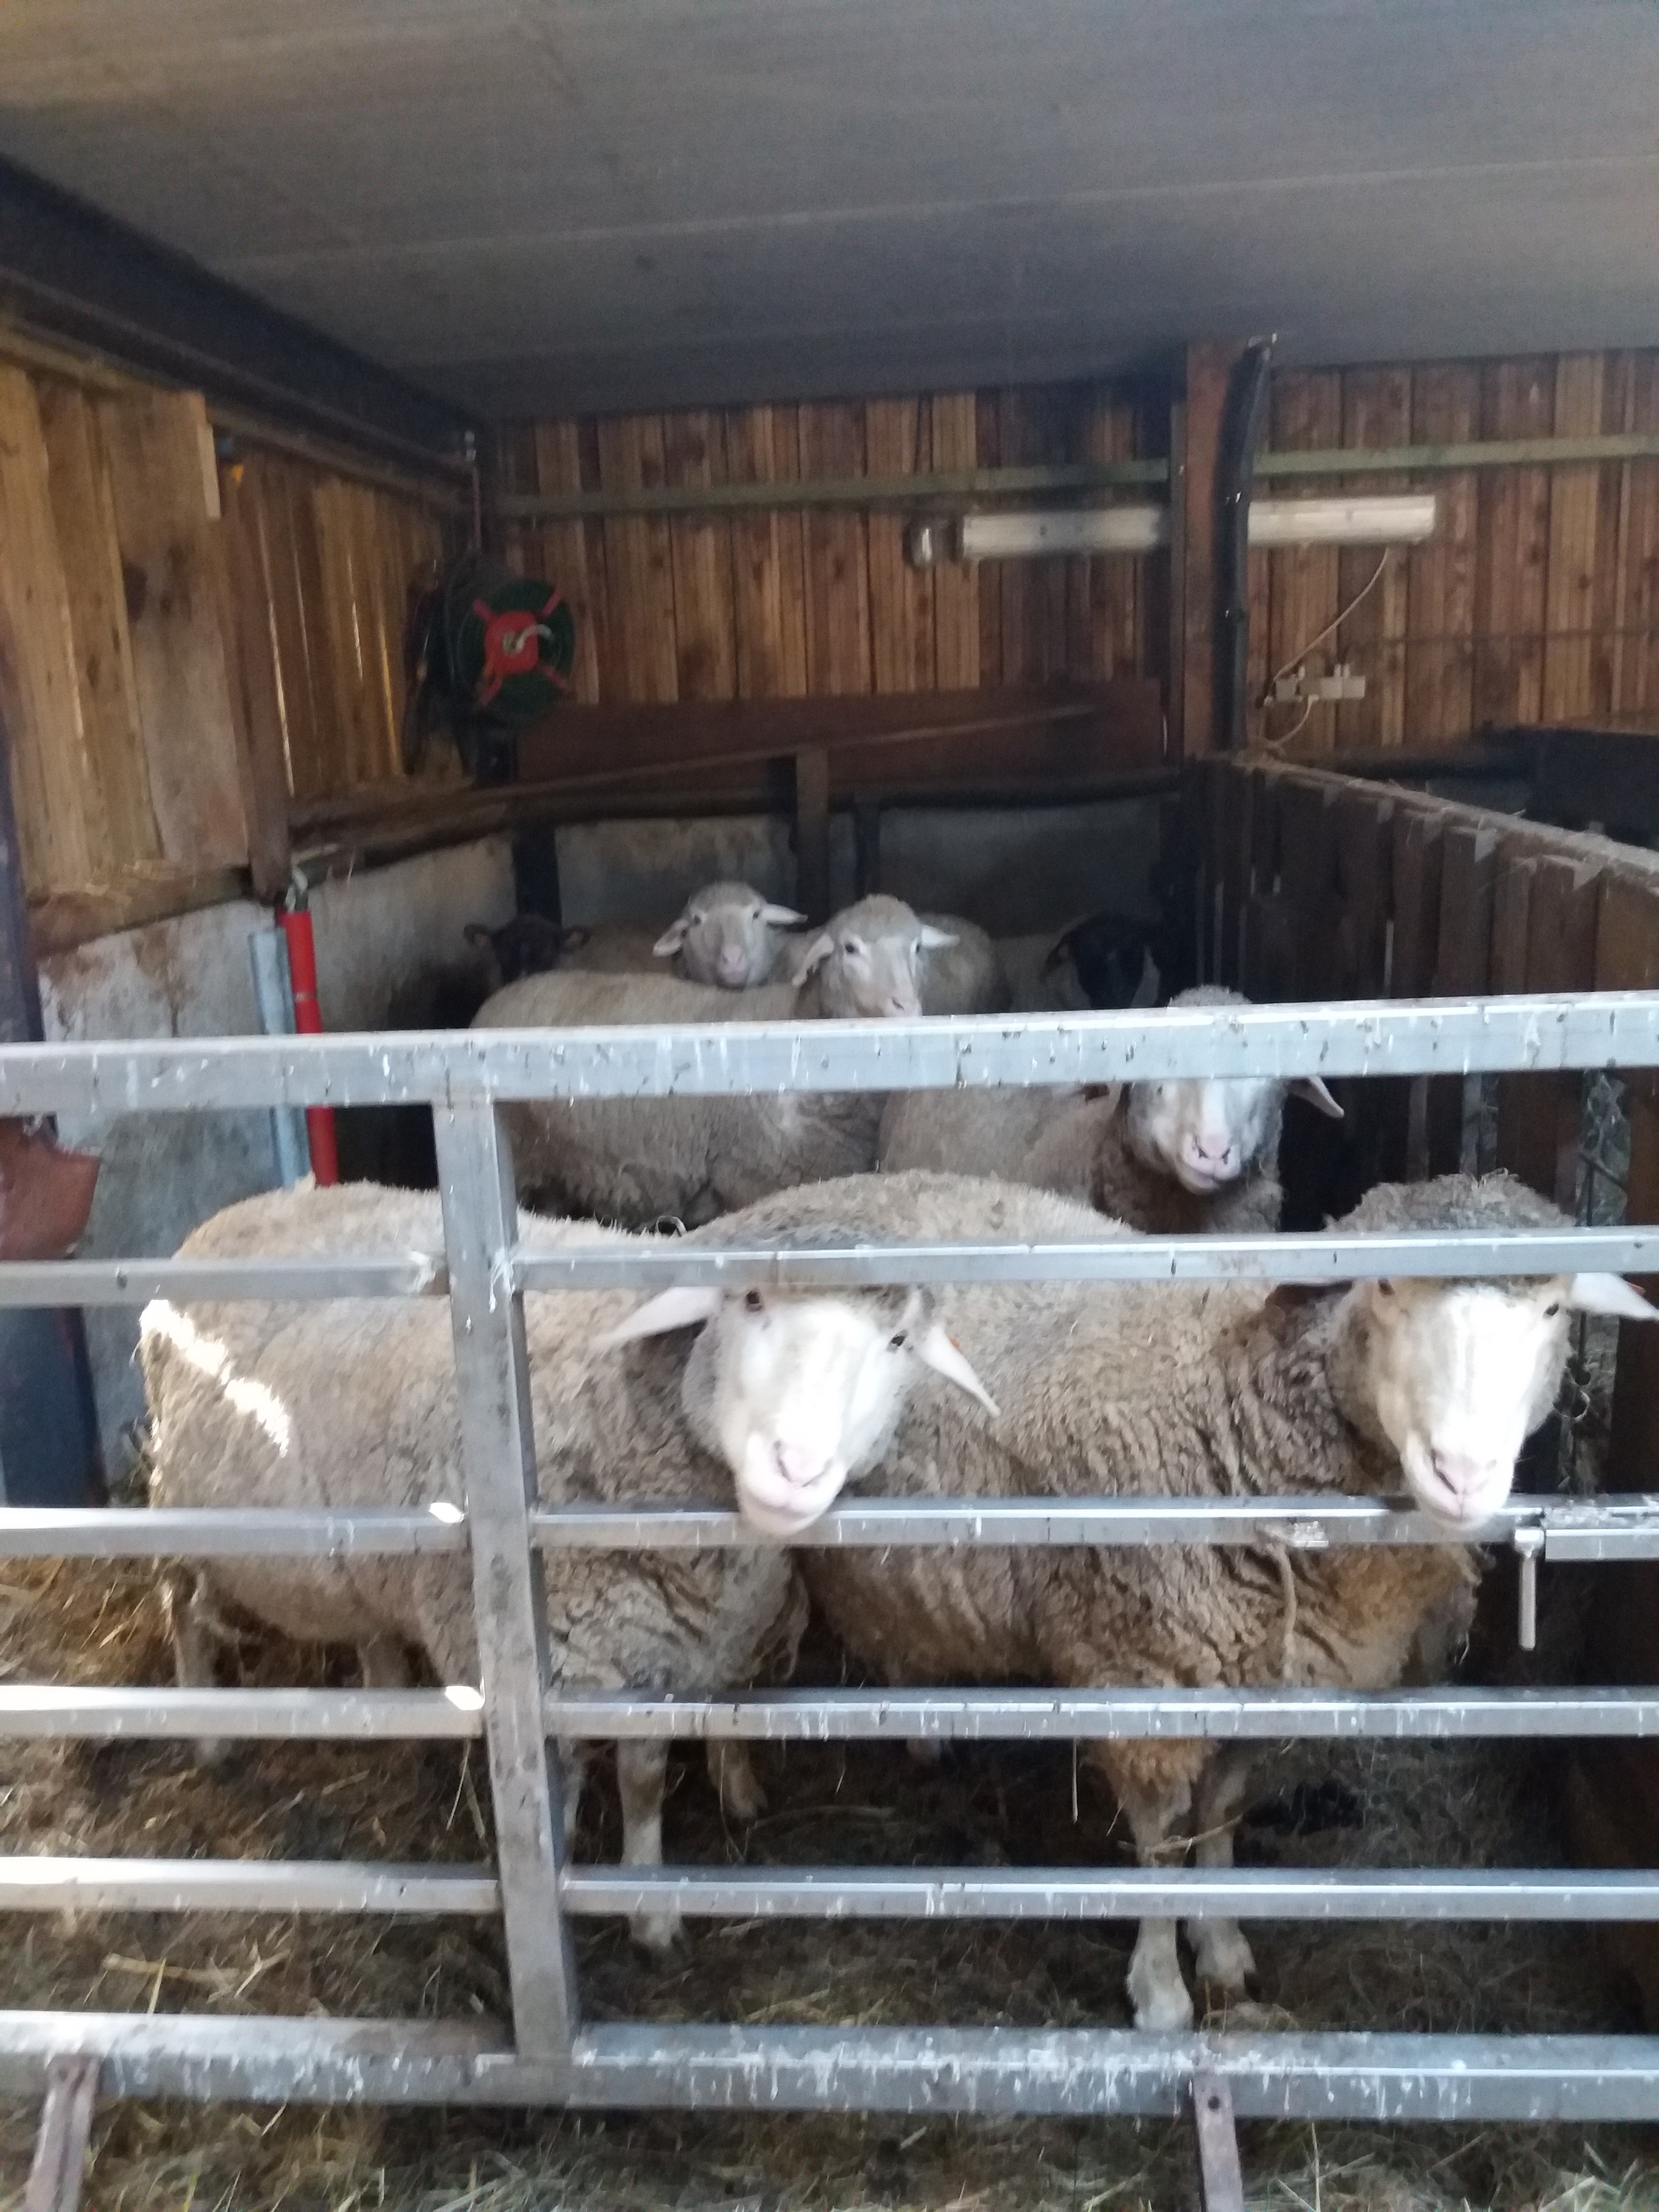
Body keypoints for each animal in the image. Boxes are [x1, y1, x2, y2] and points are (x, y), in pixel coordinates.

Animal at [143, 1185, 995, 1946]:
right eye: (750, 1300)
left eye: (896, 1344)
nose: (797, 1470)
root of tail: (245, 1207)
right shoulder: (552, 1674)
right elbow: (557, 1807)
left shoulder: (663, 1662)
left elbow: (645, 1783)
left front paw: (652, 1907)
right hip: (178, 1511)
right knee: (181, 1605)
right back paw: (207, 1730)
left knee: (365, 1625)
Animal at [628, 1168, 1659, 2026]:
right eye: (1386, 1289)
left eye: (1554, 1307)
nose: (1463, 1473)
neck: (1233, 1409)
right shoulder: (1143, 1672)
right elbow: (1161, 1850)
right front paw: (1161, 1990)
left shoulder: (1251, 1685)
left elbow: (1222, 1819)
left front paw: (1224, 1945)